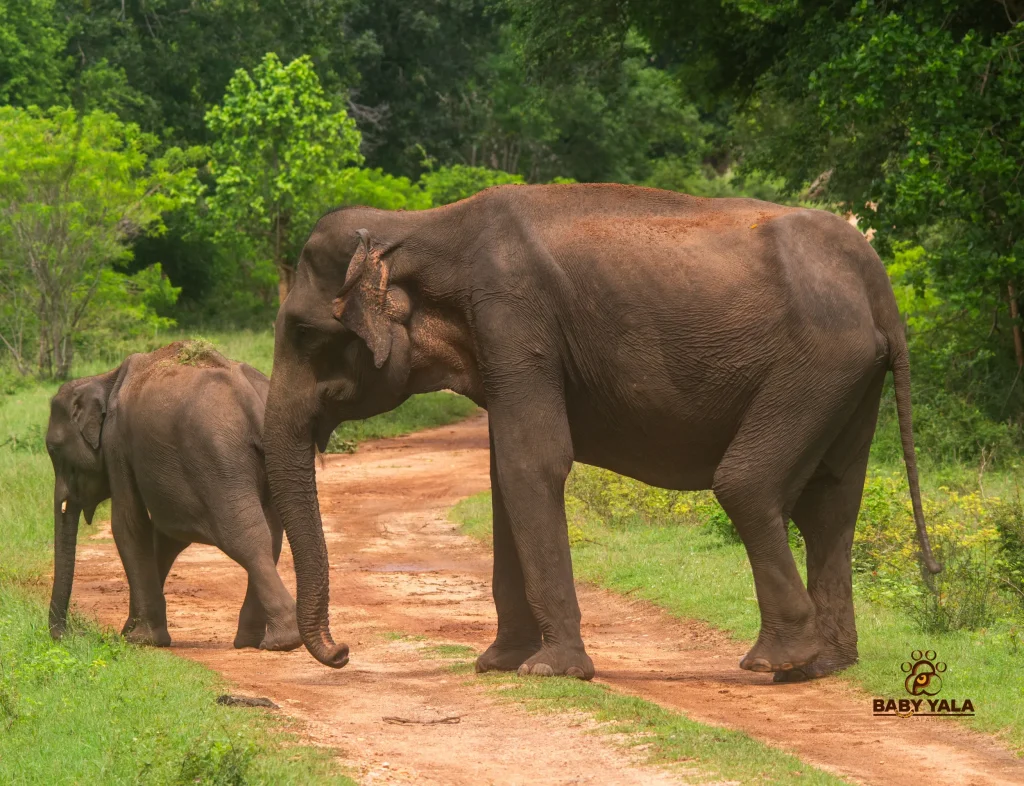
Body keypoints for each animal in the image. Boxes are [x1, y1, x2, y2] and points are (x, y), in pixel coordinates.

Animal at [46, 341, 302, 652]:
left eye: (54, 449)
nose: (72, 634)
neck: (105, 378)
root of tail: (250, 395)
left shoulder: (116, 441)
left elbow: (129, 525)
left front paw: (140, 639)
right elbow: (164, 538)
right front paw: (131, 632)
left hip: (217, 459)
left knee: (245, 537)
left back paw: (281, 641)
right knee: (270, 535)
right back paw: (253, 642)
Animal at [263, 183, 939, 682]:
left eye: (303, 332)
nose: (343, 651)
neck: (423, 225)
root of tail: (876, 279)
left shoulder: (515, 318)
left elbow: (531, 465)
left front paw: (551, 671)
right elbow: (505, 475)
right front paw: (498, 663)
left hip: (816, 365)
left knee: (748, 485)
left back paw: (776, 663)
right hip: (850, 379)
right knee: (830, 503)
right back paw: (827, 664)